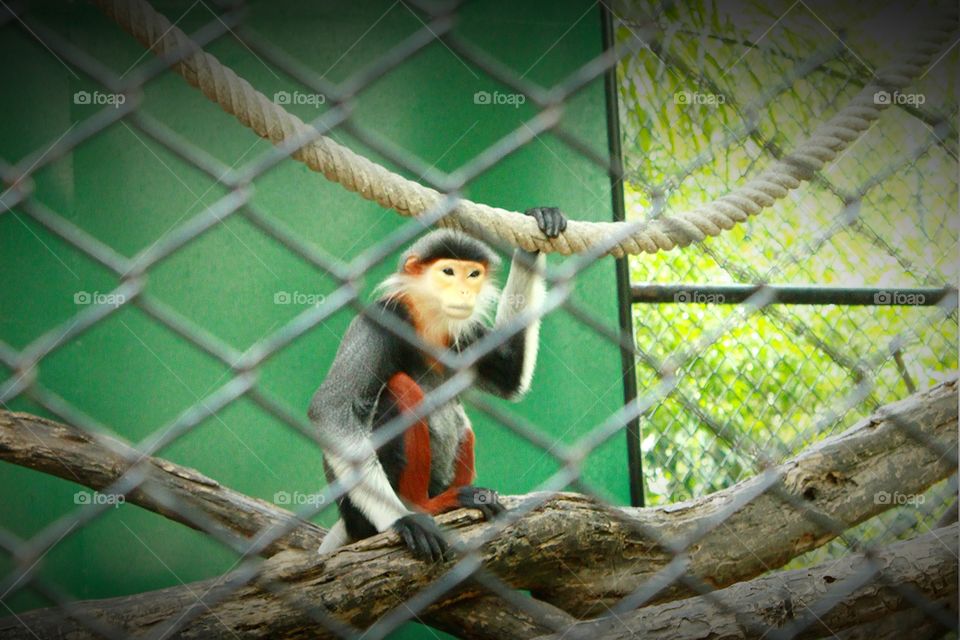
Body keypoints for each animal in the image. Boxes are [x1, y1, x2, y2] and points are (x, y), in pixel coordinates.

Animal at [309, 207, 567, 562]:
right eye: (448, 271)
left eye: (472, 274)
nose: (464, 292)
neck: (427, 320)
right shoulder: (385, 316)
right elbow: (330, 408)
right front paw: (403, 520)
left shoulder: (465, 331)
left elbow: (510, 376)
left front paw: (539, 226)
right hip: (360, 511)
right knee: (400, 388)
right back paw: (426, 507)